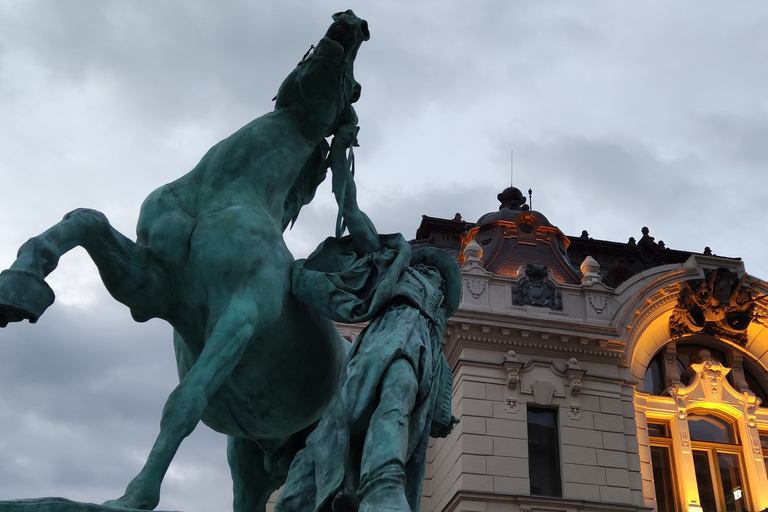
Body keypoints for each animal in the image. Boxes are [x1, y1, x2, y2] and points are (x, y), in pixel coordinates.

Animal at [0, 10, 368, 510]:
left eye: (355, 90)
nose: (352, 23)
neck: (217, 194)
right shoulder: (150, 289)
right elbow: (86, 219)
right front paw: (21, 283)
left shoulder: (240, 314)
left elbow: (183, 403)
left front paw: (132, 498)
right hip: (250, 462)